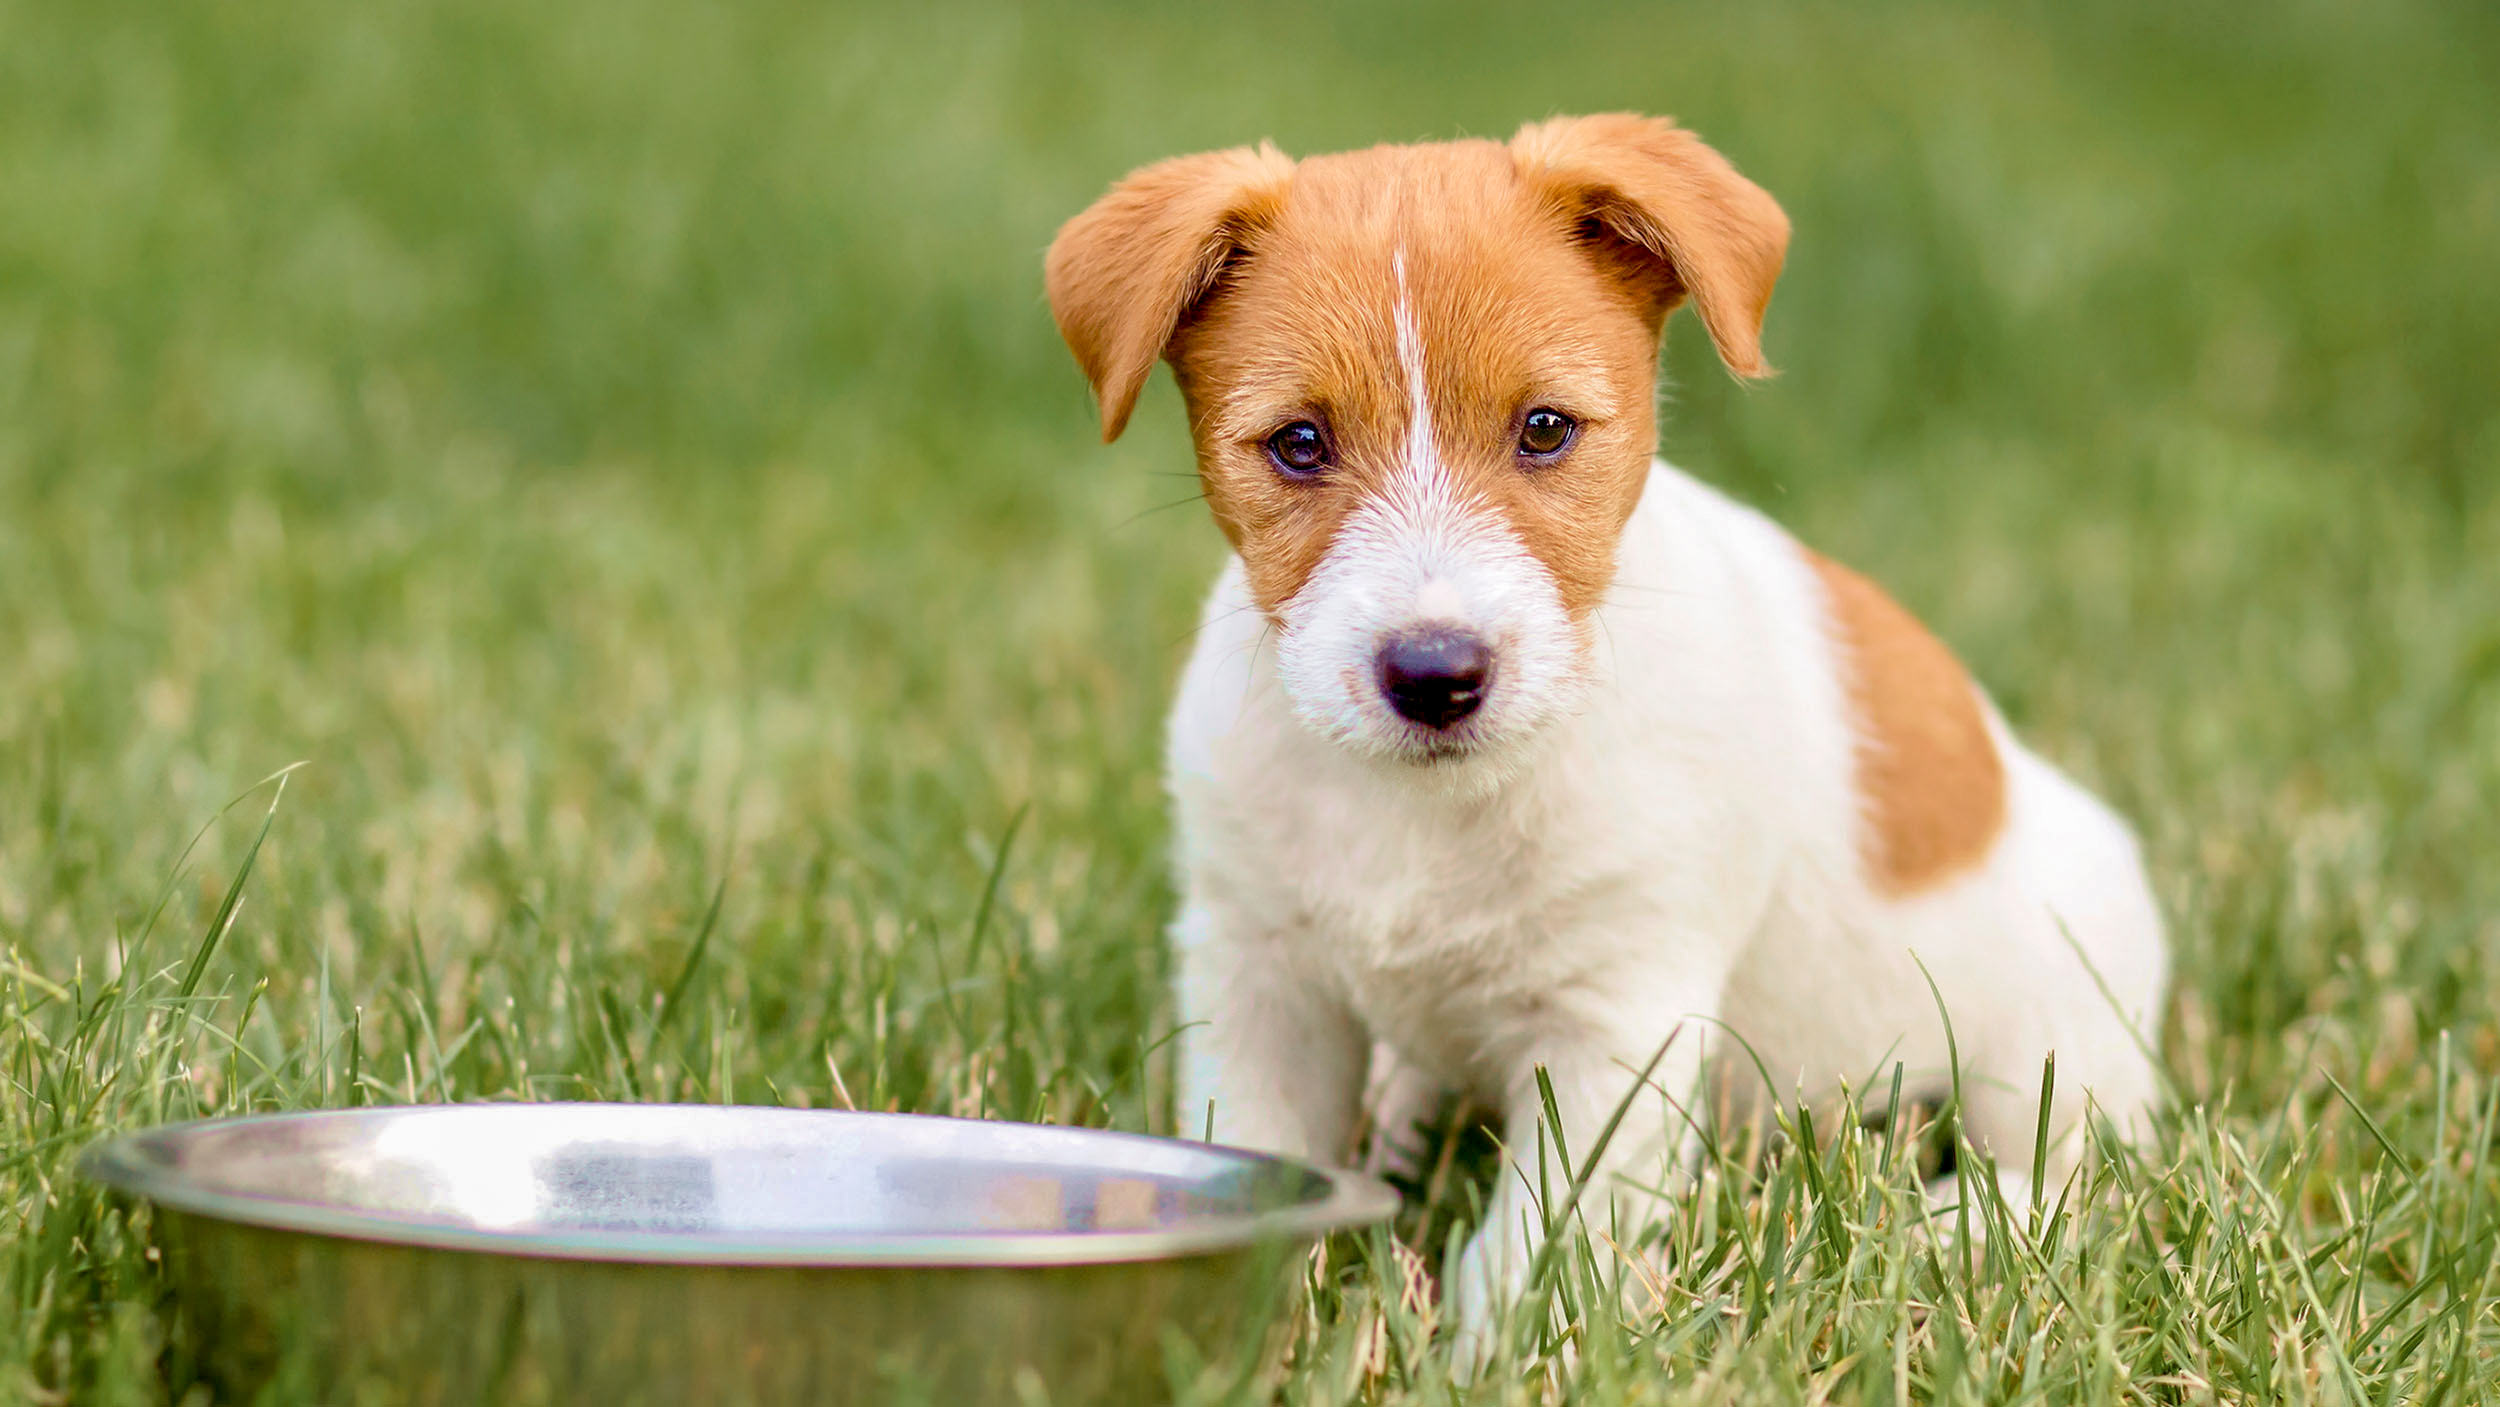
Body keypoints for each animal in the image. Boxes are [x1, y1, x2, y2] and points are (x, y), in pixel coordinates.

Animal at [1040, 115, 2170, 1359]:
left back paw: (1954, 1222)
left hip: (2060, 1031)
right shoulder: (1258, 979)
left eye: (1544, 429)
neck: (1429, 810)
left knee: (2072, 1169)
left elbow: (1535, 1240)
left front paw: (1491, 1357)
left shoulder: (1614, 1022)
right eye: (1297, 443)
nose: (1434, 675)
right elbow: (1263, 1149)